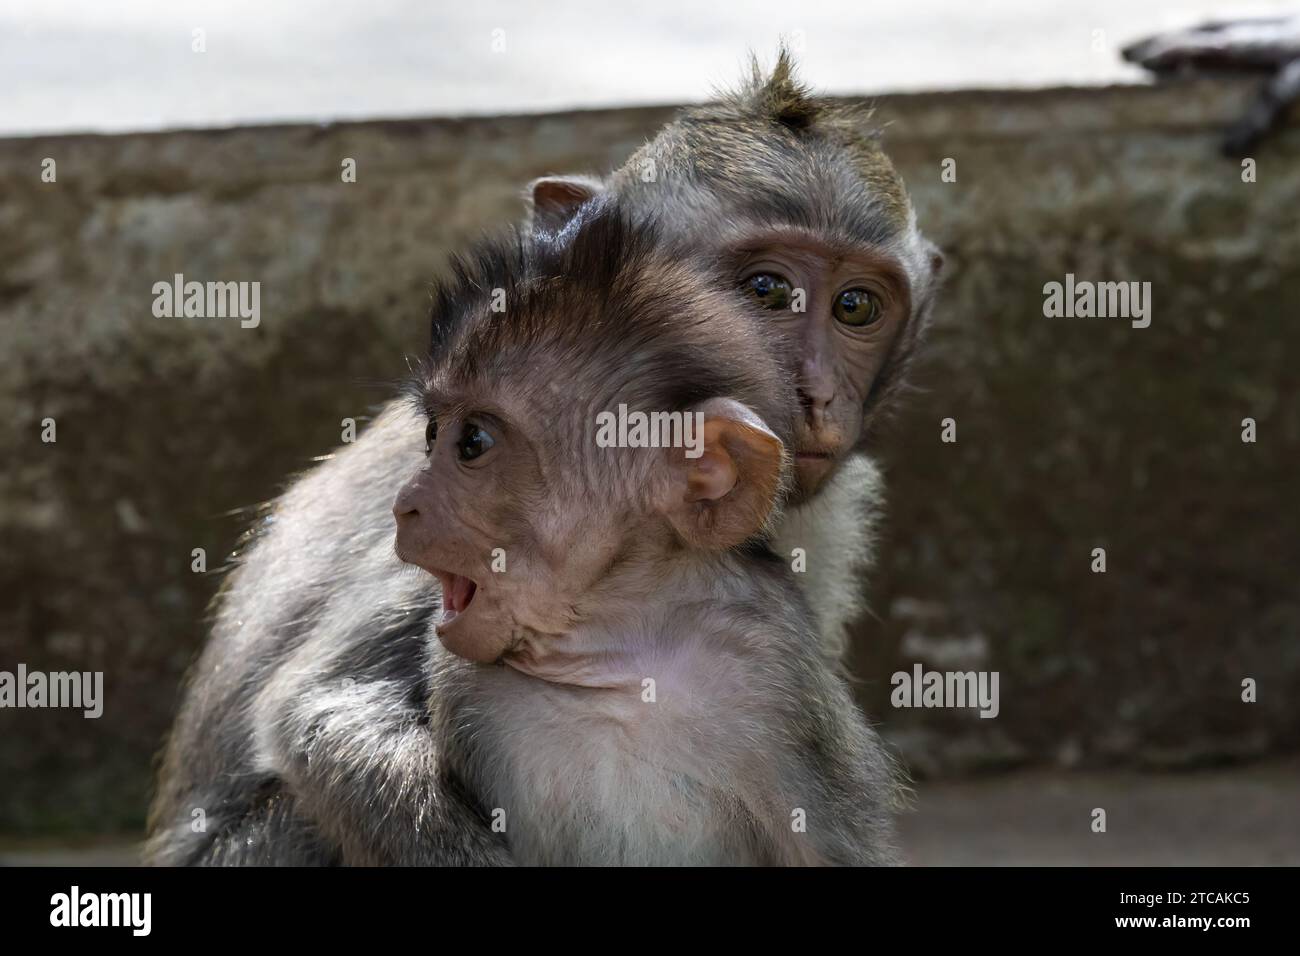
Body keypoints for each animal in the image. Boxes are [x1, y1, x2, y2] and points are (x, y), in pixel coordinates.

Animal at [387, 201, 894, 868]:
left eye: (472, 442)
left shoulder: (773, 669)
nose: (404, 506)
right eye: (430, 434)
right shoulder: (461, 682)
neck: (616, 654)